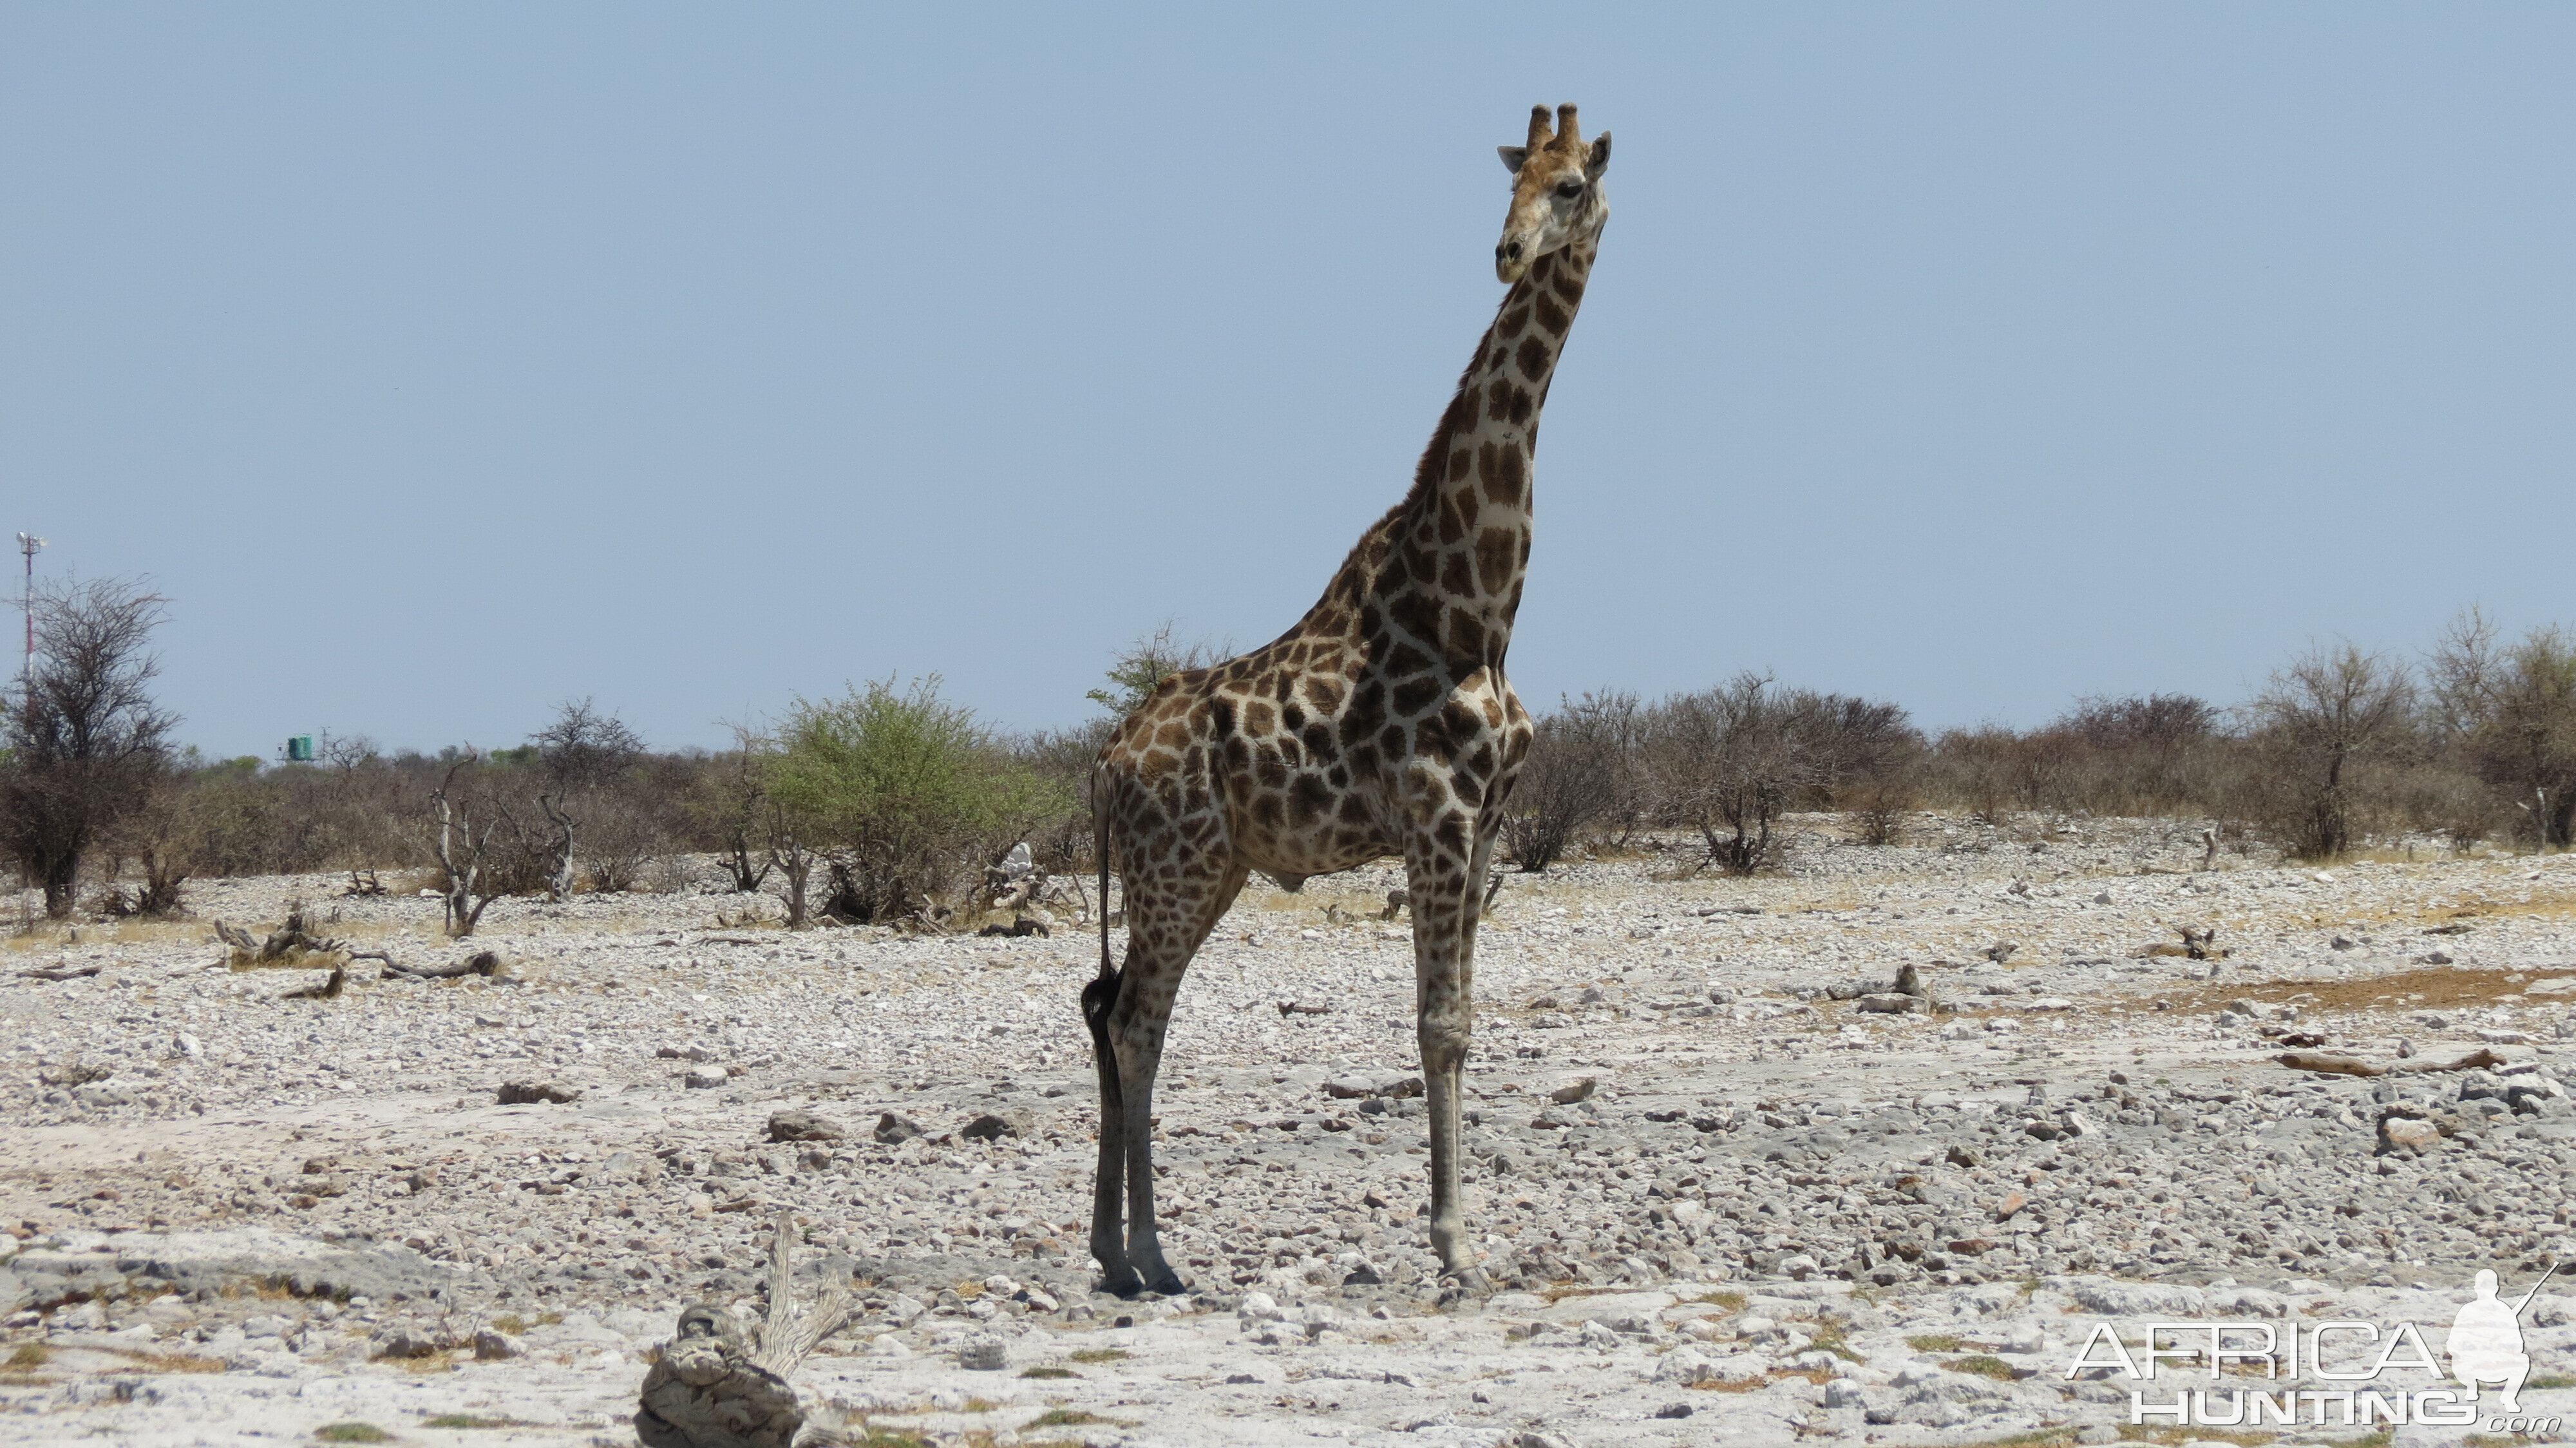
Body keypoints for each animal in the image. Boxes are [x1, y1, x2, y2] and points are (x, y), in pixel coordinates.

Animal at [1082, 104, 1607, 1299]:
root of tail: (1105, 760)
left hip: (1210, 868)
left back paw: (1123, 1252)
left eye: (1570, 187)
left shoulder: (1488, 819)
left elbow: (1463, 1020)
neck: (1477, 604)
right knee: (1133, 1017)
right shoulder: (1438, 814)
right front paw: (1456, 1244)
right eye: (1518, 182)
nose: (1509, 252)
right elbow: (1439, 1025)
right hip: (1176, 866)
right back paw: (1149, 1252)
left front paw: (1466, 1237)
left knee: (1127, 1011)